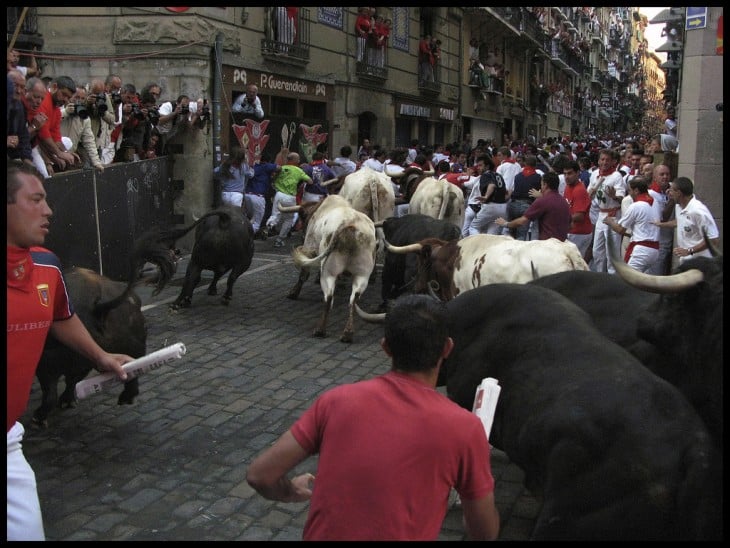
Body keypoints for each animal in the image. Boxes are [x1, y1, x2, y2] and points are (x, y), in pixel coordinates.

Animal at [278, 195, 378, 342]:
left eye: (303, 217)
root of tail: (351, 224)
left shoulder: (309, 247)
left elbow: (304, 274)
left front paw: (293, 292)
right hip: (362, 275)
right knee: (353, 299)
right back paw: (347, 333)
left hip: (328, 272)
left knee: (329, 297)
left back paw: (320, 330)